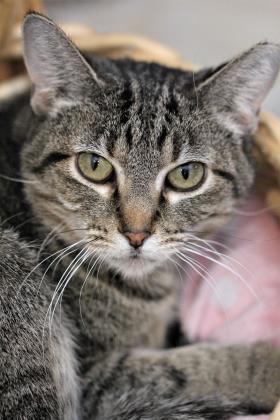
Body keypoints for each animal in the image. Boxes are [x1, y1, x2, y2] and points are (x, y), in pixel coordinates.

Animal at [0, 11, 280, 418]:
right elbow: (193, 367)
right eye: (94, 166)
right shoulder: (100, 384)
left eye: (186, 174)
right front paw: (269, 362)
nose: (136, 233)